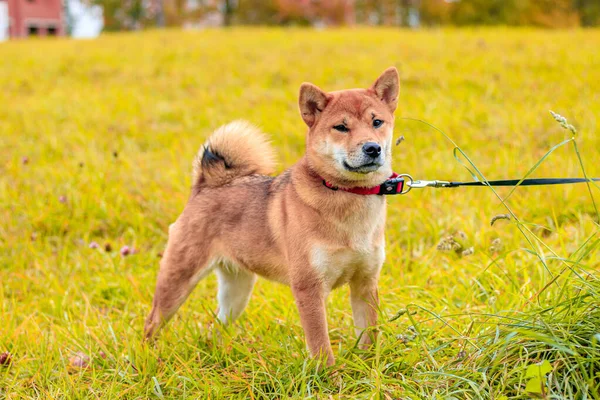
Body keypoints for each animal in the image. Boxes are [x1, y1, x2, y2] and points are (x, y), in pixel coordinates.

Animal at [143, 68, 400, 366]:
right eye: (341, 127)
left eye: (377, 122)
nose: (372, 148)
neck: (348, 195)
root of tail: (205, 186)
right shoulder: (309, 288)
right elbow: (321, 347)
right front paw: (330, 377)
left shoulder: (365, 284)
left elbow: (369, 337)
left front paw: (369, 369)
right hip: (177, 282)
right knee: (152, 323)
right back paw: (148, 358)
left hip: (237, 291)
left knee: (217, 326)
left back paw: (219, 354)